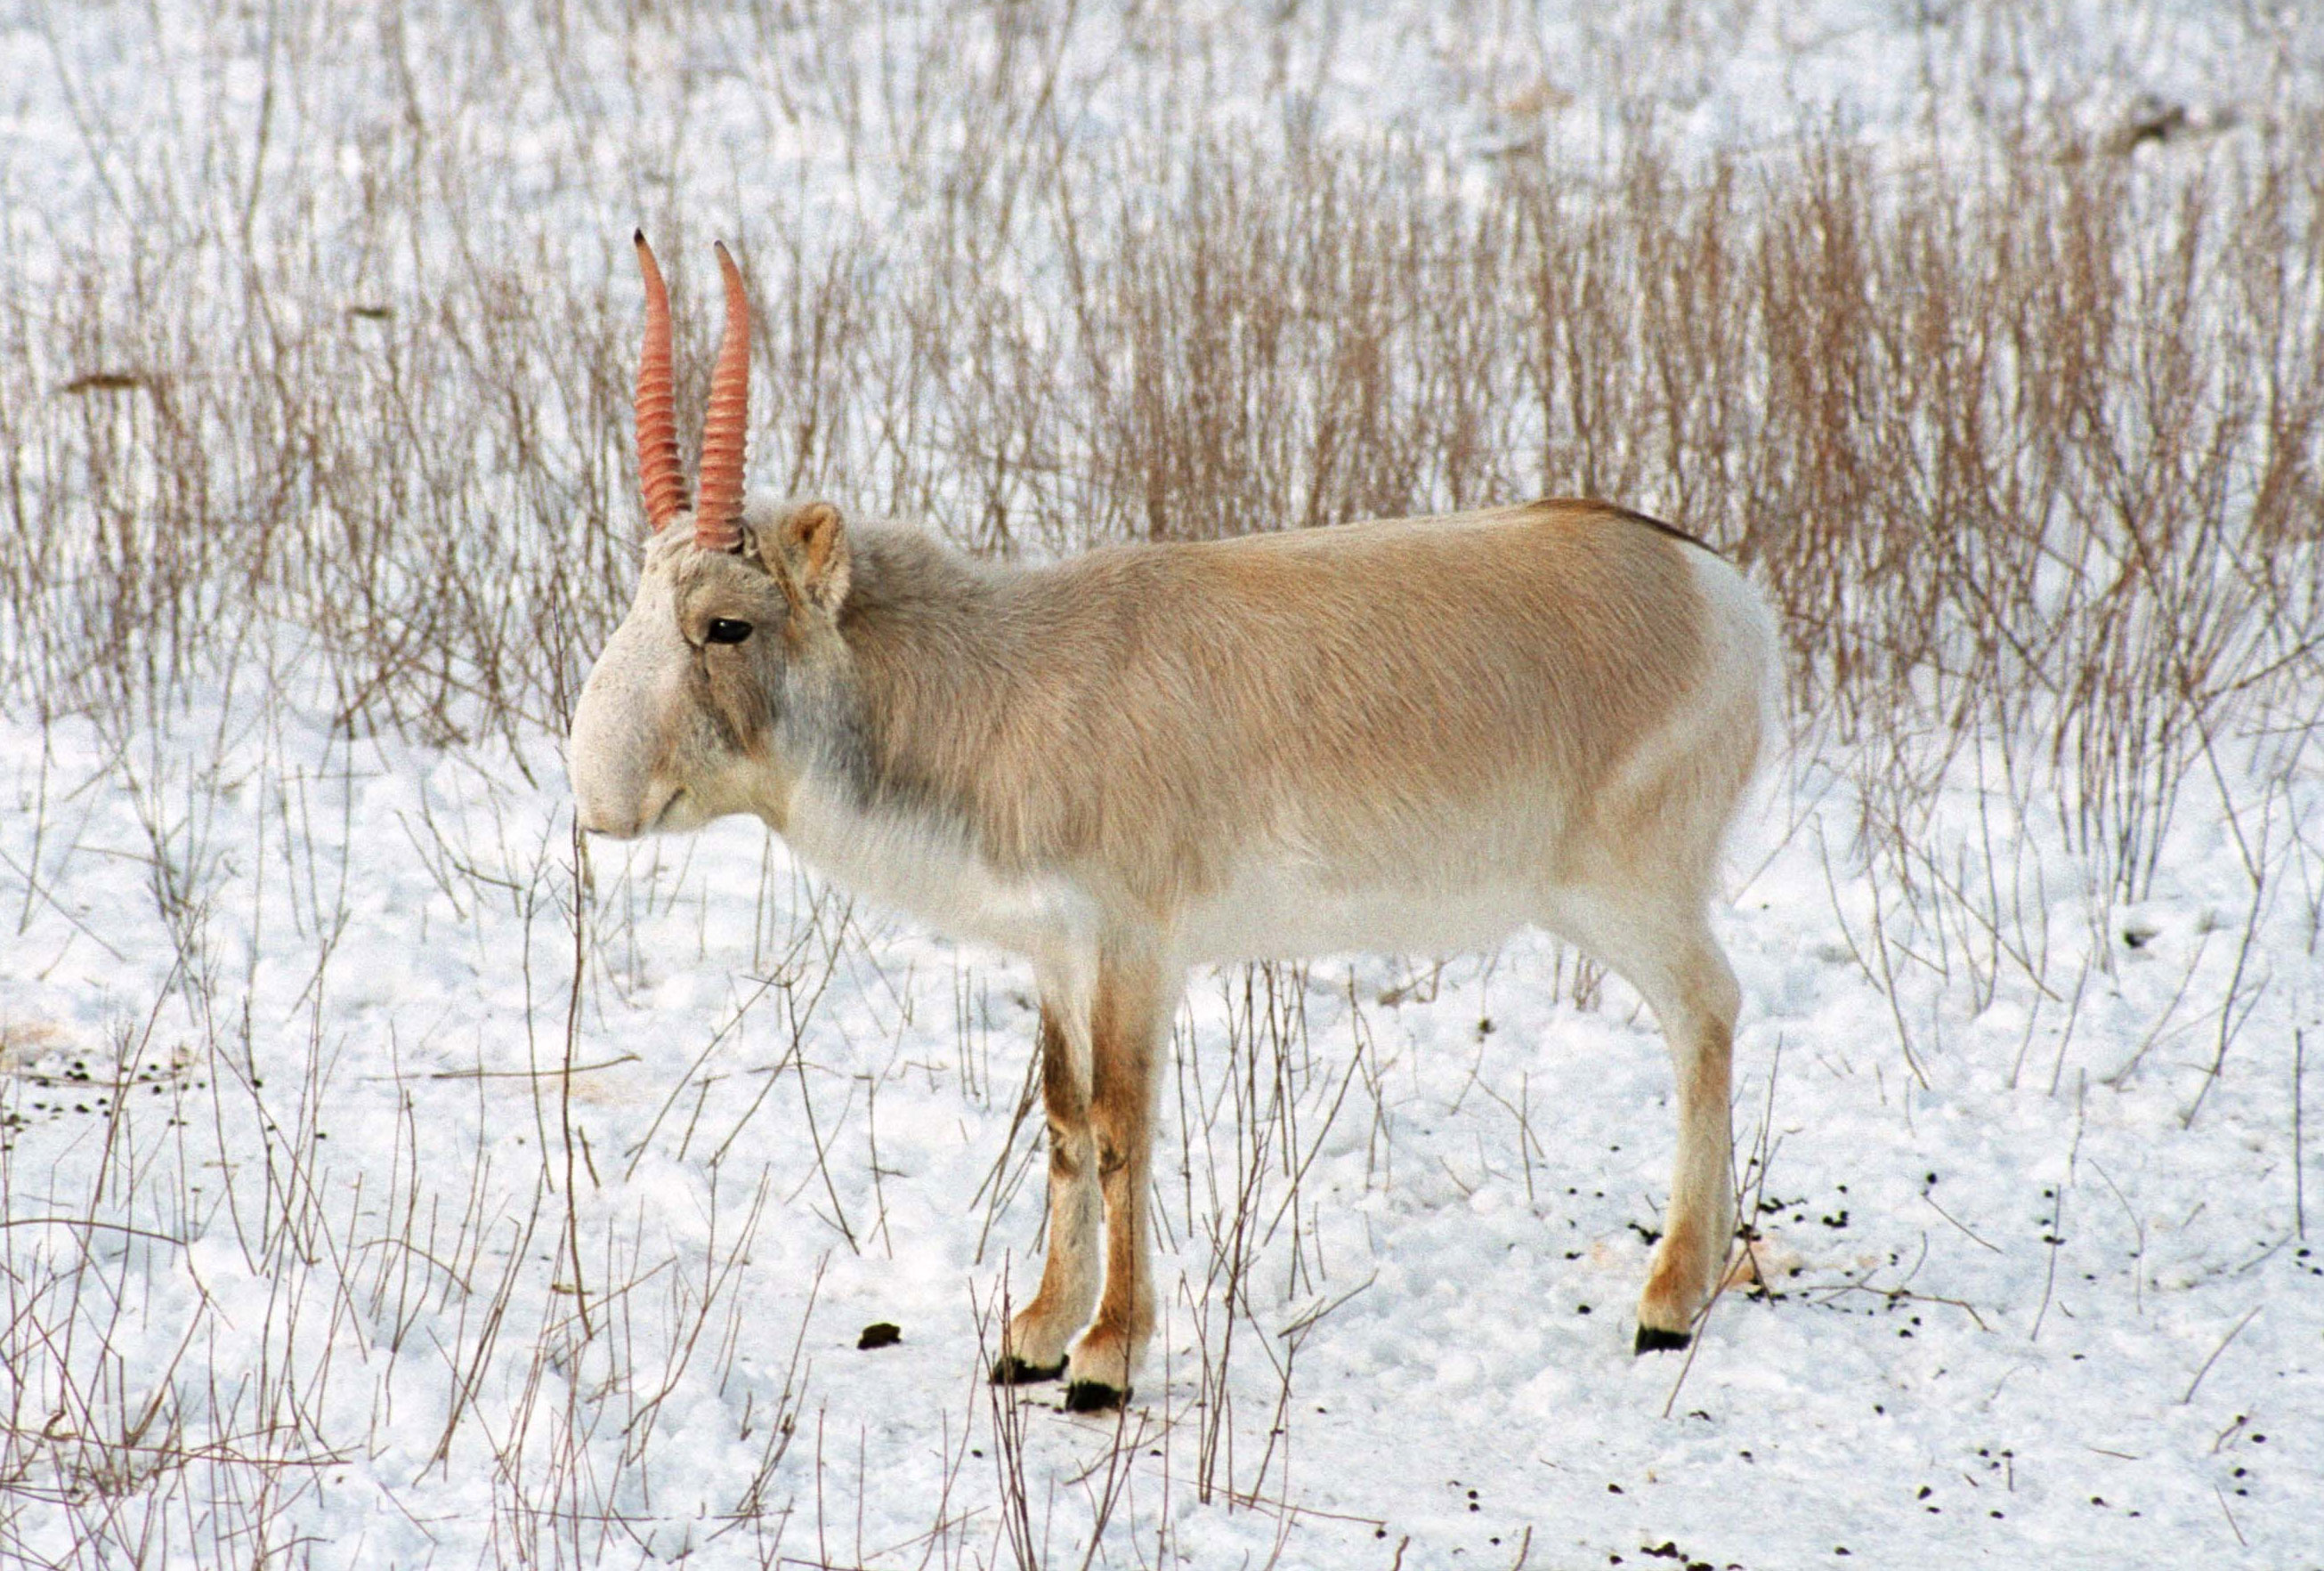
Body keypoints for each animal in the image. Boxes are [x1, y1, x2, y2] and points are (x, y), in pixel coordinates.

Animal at [571, 236, 1766, 1413]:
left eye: (726, 623)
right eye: (635, 603)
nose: (598, 796)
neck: (1005, 682)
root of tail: (1717, 590)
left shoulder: (1135, 949)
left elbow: (1119, 1126)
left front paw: (1105, 1357)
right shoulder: (1056, 953)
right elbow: (1061, 1122)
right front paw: (1032, 1335)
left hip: (1628, 895)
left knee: (1706, 1014)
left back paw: (1667, 1302)